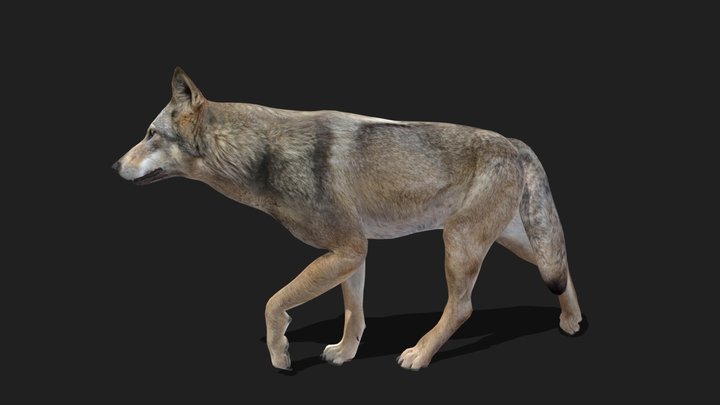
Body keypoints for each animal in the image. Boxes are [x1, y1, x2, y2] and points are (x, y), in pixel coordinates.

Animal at [113, 68, 583, 370]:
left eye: (151, 135)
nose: (115, 165)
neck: (262, 154)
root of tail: (516, 142)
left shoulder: (348, 249)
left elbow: (273, 303)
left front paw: (280, 353)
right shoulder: (353, 253)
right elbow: (353, 313)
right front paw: (344, 352)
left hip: (459, 245)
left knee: (464, 307)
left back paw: (420, 354)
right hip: (510, 241)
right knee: (560, 268)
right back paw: (572, 322)